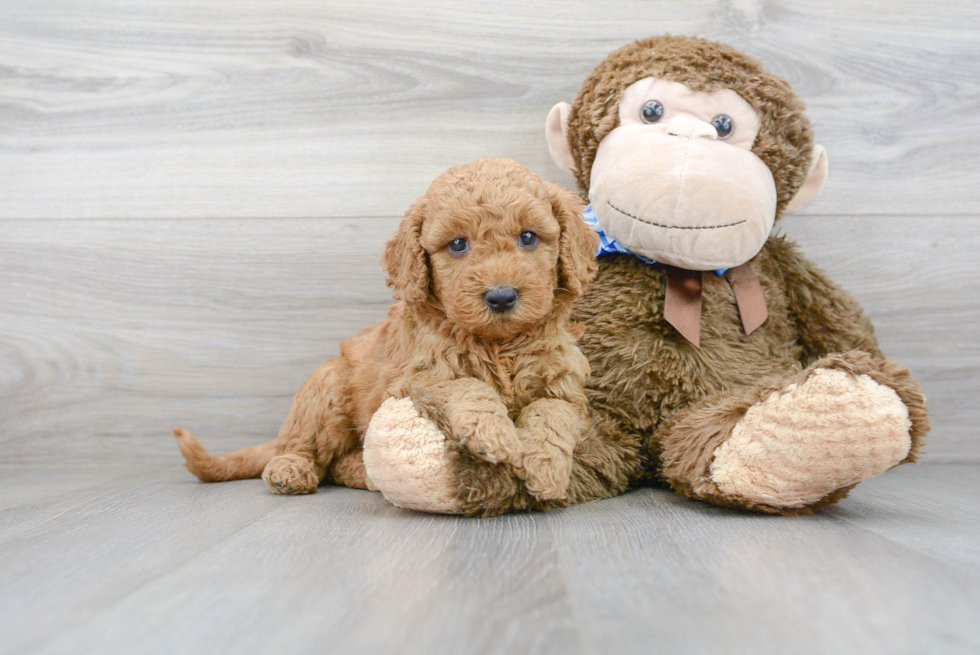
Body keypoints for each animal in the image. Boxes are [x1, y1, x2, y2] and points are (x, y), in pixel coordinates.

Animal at [174, 158, 596, 502]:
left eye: (528, 237)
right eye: (458, 244)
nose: (502, 296)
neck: (499, 344)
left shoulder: (564, 382)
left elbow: (552, 414)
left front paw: (546, 469)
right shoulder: (415, 377)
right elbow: (465, 384)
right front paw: (493, 432)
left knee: (340, 463)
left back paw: (367, 475)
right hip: (325, 391)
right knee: (303, 447)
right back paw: (289, 470)